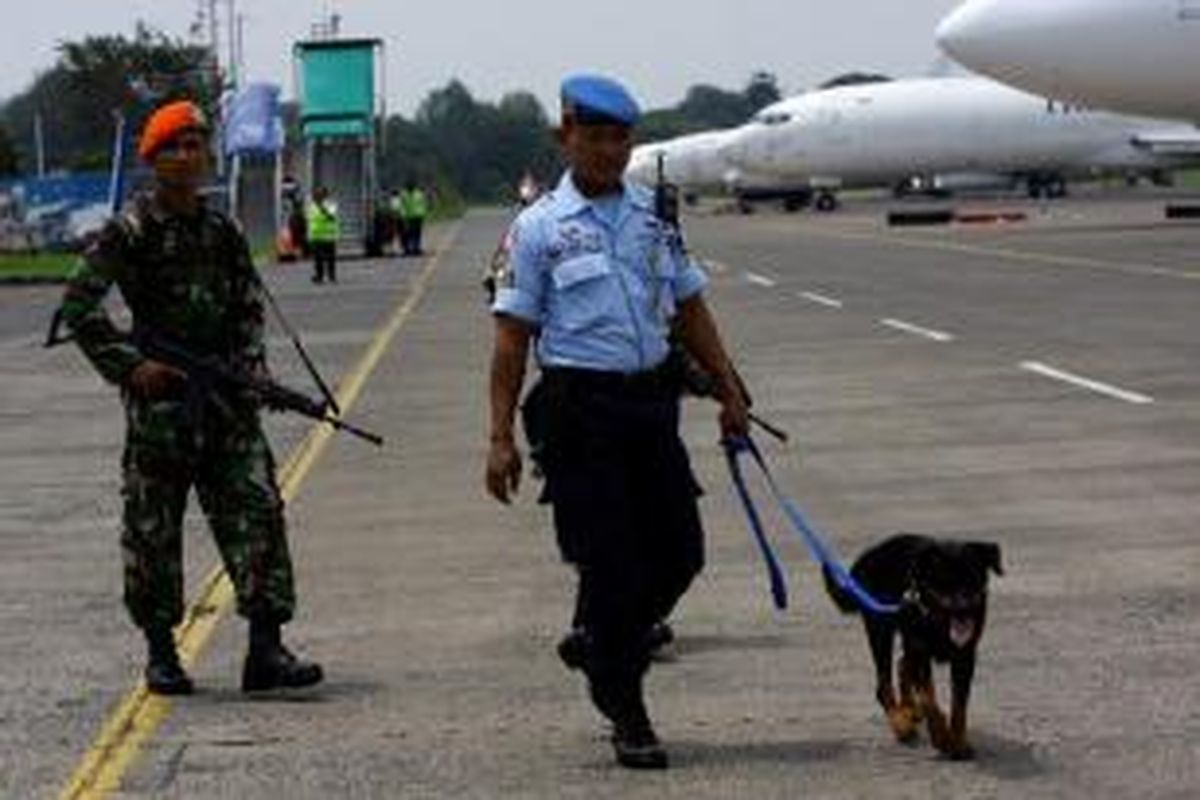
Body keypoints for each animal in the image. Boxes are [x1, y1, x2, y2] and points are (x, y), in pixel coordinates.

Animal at [825, 534, 1003, 762]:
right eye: (943, 583)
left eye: (974, 579)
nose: (963, 610)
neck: (939, 622)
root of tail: (869, 555)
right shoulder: (920, 651)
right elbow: (929, 699)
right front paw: (942, 738)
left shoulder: (965, 657)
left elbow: (959, 705)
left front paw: (959, 741)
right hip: (880, 629)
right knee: (884, 682)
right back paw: (901, 723)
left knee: (902, 665)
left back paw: (908, 708)